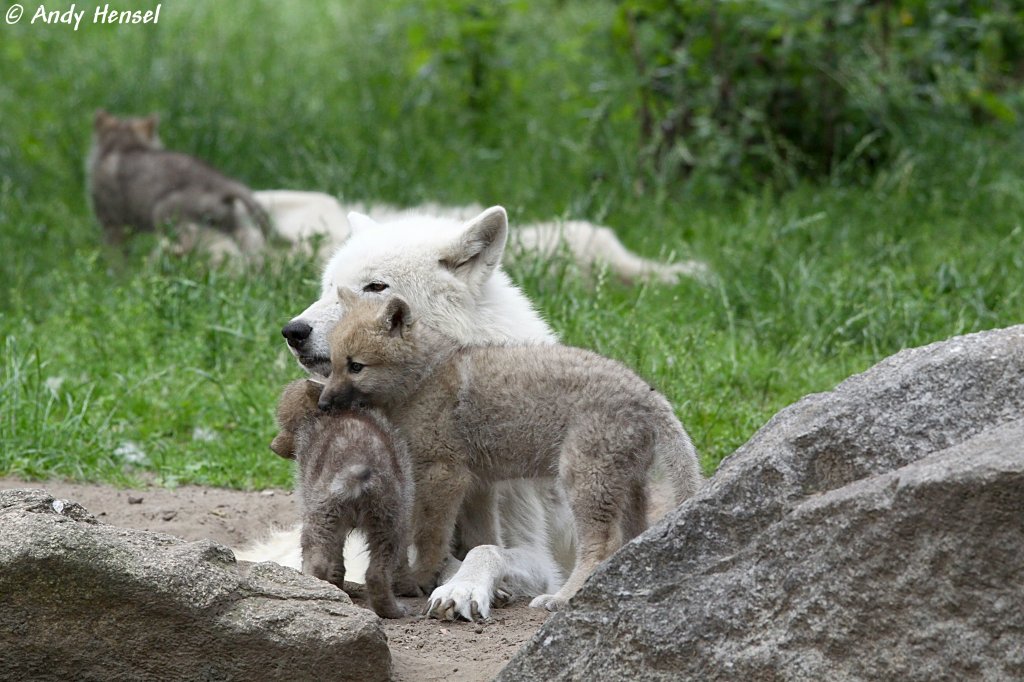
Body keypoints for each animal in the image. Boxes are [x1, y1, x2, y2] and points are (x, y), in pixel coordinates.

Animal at [238, 204, 704, 618]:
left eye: (374, 287)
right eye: (329, 286)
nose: (293, 332)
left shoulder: (534, 551)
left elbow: (485, 548)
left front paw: (462, 589)